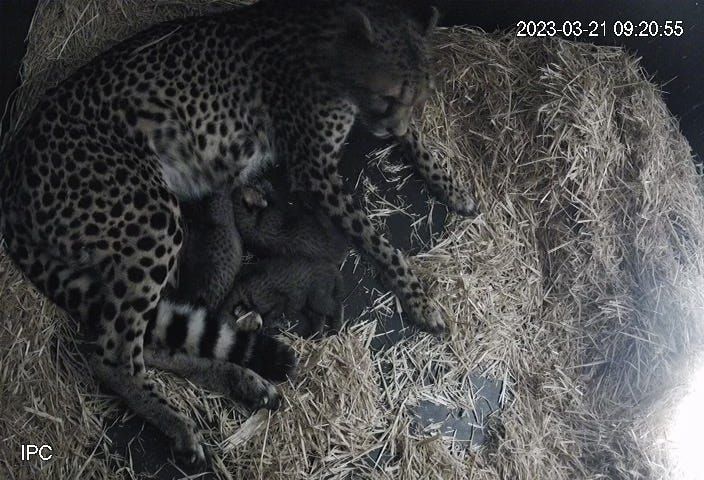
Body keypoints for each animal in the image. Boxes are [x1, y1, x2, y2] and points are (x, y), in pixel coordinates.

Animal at [0, 0, 475, 469]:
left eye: (419, 97)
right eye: (387, 96)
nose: (391, 127)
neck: (333, 48)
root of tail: (14, 166)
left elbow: (418, 140)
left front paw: (450, 184)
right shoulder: (315, 170)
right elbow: (377, 238)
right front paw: (418, 296)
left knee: (151, 338)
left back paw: (244, 381)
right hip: (153, 218)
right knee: (113, 355)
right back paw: (180, 423)